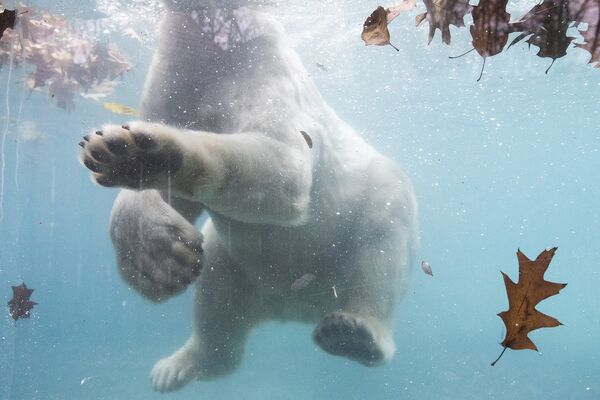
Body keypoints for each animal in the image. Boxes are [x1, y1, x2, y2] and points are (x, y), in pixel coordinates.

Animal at [78, 0, 418, 394]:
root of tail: (293, 308)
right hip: (241, 265)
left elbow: (283, 164)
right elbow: (170, 203)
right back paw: (177, 367)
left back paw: (354, 332)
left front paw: (150, 154)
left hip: (369, 210)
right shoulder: (175, 79)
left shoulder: (261, 68)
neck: (217, 45)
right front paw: (154, 256)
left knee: (382, 242)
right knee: (215, 287)